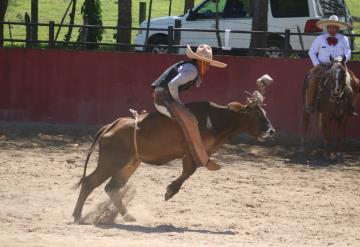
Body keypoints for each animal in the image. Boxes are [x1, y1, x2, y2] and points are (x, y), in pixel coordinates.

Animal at [73, 93, 276, 224]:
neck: (213, 120)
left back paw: (128, 216)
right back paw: (77, 215)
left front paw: (170, 190)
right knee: (89, 182)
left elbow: (188, 172)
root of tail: (111, 126)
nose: (271, 131)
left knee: (112, 188)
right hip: (111, 162)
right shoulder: (189, 152)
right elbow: (189, 171)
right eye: (257, 113)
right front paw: (170, 191)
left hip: (129, 164)